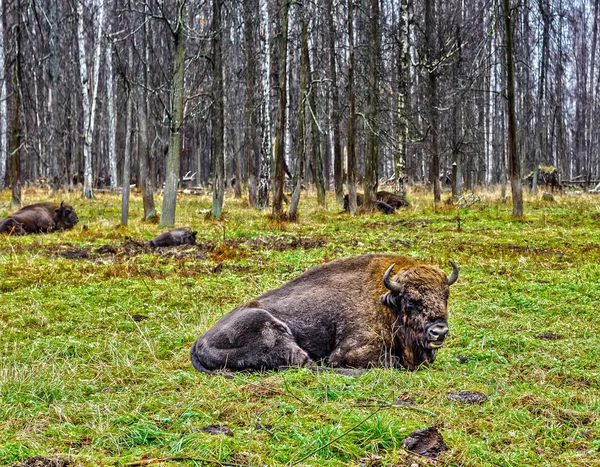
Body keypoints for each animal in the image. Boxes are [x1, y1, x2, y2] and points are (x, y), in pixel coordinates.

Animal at [192, 254, 460, 374]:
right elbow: (390, 362)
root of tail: (197, 344)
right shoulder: (351, 350)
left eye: (445, 296)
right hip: (272, 330)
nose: (439, 331)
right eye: (410, 301)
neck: (386, 302)